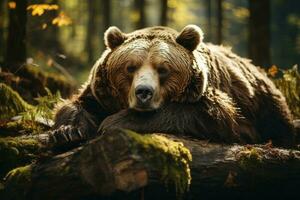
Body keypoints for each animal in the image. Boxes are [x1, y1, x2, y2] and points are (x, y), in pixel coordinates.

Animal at [49, 24, 296, 148]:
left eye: (163, 69)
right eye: (130, 67)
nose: (143, 92)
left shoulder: (215, 101)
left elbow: (210, 114)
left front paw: (112, 122)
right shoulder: (100, 94)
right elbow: (76, 104)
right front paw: (67, 132)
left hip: (266, 105)